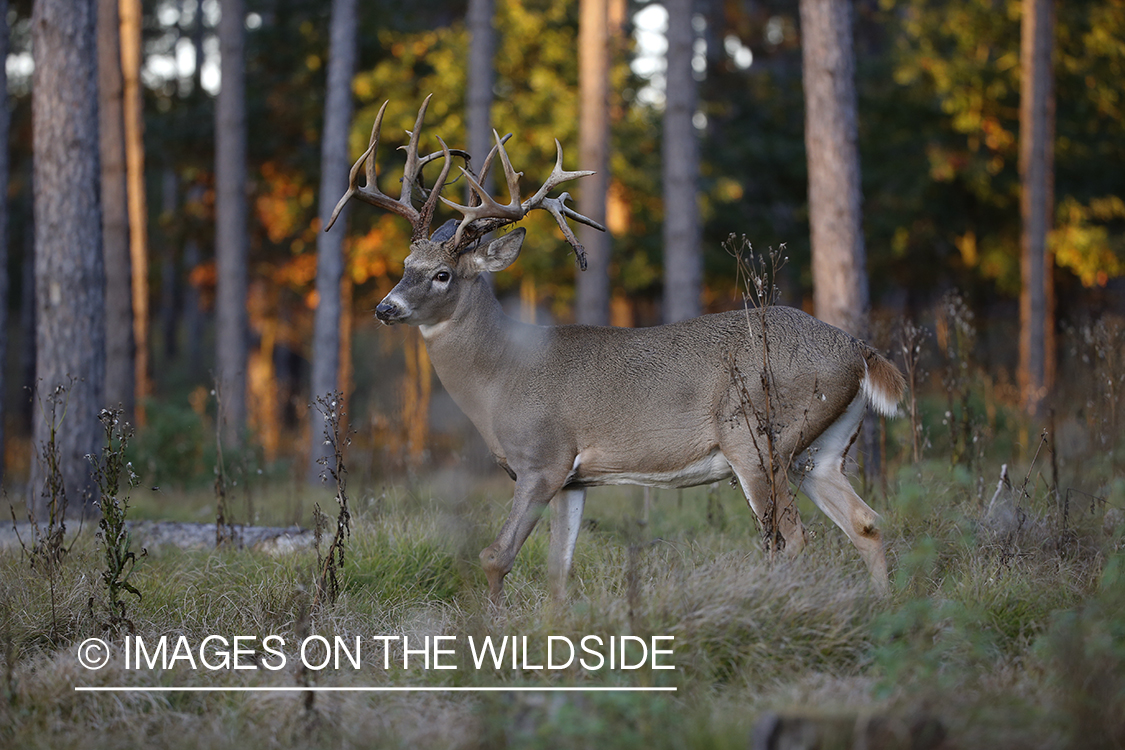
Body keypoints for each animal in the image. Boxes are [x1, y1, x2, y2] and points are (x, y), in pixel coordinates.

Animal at [326, 98, 904, 602]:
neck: (500, 377)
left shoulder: (543, 458)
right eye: (405, 264)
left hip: (759, 437)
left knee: (791, 539)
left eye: (442, 274)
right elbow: (558, 568)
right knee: (867, 523)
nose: (385, 307)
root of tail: (858, 350)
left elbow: (496, 556)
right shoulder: (573, 480)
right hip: (818, 450)